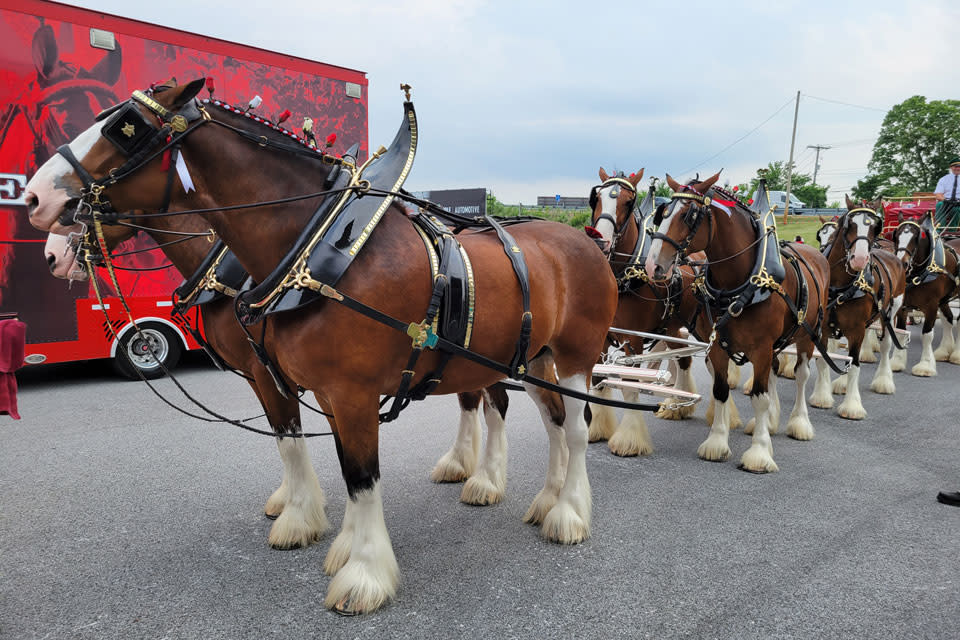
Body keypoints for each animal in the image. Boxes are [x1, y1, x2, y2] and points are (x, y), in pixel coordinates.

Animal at [25, 79, 619, 614]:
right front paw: (331, 537)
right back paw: (544, 498)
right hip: (529, 355)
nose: (34, 201)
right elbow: (310, 449)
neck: (314, 251)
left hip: (574, 356)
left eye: (125, 128)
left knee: (573, 427)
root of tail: (583, 239)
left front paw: (363, 573)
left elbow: (357, 474)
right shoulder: (310, 386)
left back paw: (565, 511)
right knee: (552, 422)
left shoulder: (344, 389)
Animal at [583, 168, 703, 456]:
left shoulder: (634, 340)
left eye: (628, 201)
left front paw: (629, 439)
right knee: (681, 358)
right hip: (673, 326)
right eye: (596, 198)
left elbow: (631, 384)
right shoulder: (604, 337)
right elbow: (598, 377)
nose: (600, 241)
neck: (624, 276)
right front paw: (597, 427)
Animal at [645, 173, 832, 472]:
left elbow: (759, 396)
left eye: (688, 215)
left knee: (801, 375)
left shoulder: (762, 348)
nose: (653, 266)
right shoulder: (719, 346)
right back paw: (769, 422)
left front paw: (759, 452)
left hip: (807, 334)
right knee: (773, 373)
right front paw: (717, 442)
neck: (742, 285)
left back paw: (799, 422)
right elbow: (721, 390)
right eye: (664, 212)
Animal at [806, 197, 905, 419]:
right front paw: (822, 397)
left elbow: (855, 365)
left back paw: (884, 381)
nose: (859, 259)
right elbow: (824, 359)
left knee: (885, 345)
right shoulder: (824, 327)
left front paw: (852, 406)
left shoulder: (857, 329)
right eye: (848, 225)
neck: (839, 286)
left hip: (891, 310)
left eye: (875, 227)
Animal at [890, 213, 960, 376]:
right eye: (896, 235)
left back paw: (956, 355)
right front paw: (897, 362)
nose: (902, 264)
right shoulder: (903, 306)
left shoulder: (931, 306)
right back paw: (943, 351)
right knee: (948, 318)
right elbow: (901, 333)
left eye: (917, 237)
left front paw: (925, 365)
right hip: (944, 300)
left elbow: (927, 335)